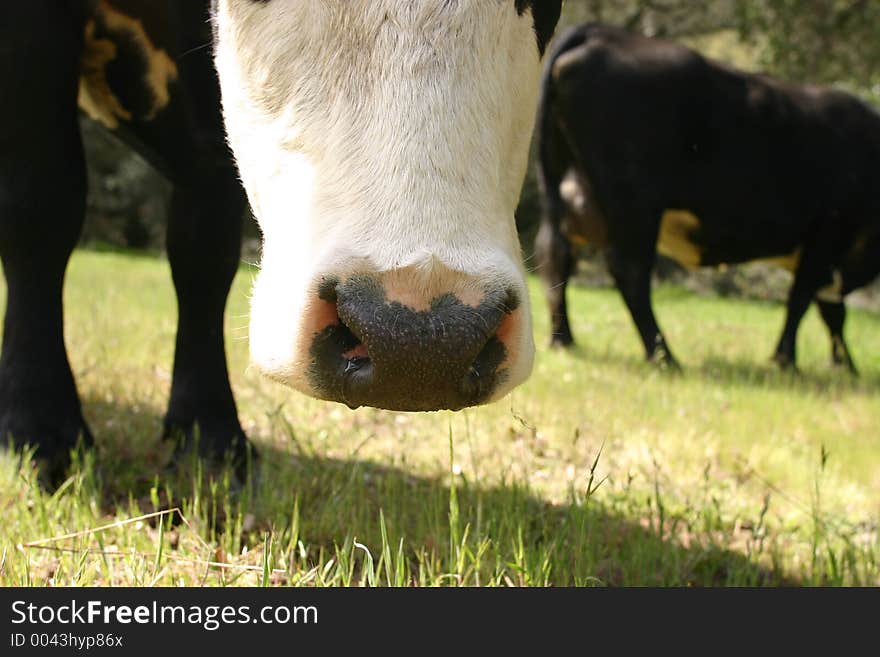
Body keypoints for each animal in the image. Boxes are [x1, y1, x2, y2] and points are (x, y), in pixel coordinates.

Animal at [536, 23, 880, 372]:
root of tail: (602, 32)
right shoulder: (827, 232)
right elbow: (802, 300)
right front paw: (787, 360)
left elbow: (831, 310)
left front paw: (845, 365)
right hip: (636, 202)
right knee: (629, 271)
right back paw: (663, 355)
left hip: (564, 189)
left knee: (555, 256)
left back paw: (564, 339)